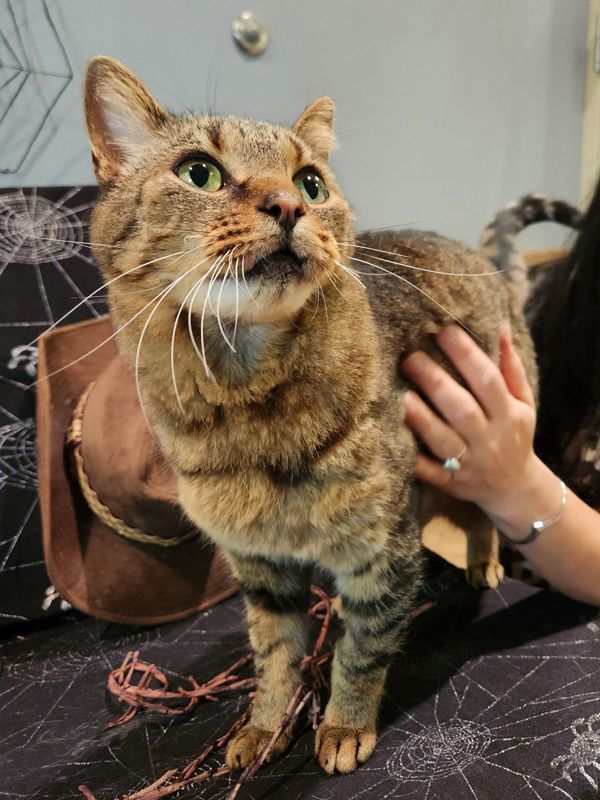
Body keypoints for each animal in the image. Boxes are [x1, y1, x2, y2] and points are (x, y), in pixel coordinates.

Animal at [82, 57, 536, 776]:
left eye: (311, 182)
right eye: (199, 172)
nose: (288, 205)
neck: (246, 405)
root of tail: (483, 259)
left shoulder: (382, 551)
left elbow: (361, 648)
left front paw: (344, 726)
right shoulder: (261, 570)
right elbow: (273, 658)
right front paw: (265, 727)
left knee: (484, 508)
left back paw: (484, 562)